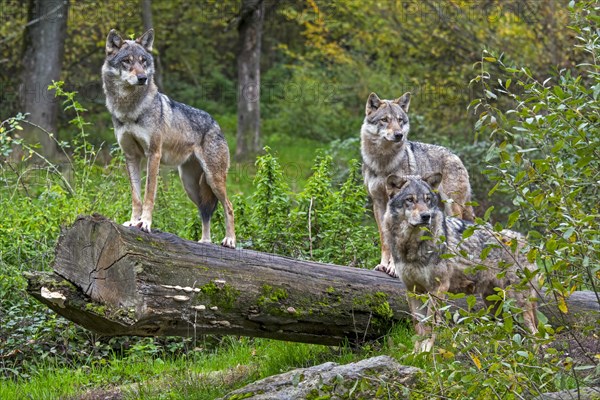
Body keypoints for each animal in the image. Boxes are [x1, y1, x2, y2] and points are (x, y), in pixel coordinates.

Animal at [102, 28, 236, 247]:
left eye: (143, 61)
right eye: (127, 61)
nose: (142, 78)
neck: (129, 109)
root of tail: (216, 123)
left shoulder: (153, 154)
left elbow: (149, 194)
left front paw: (145, 223)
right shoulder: (131, 157)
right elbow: (136, 197)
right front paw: (132, 222)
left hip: (213, 179)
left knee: (229, 206)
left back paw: (230, 240)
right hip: (191, 186)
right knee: (205, 212)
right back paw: (204, 242)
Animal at [360, 92, 474, 276]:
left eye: (400, 120)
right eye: (384, 120)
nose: (399, 135)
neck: (384, 162)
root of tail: (455, 156)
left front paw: (394, 268)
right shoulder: (378, 203)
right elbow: (385, 239)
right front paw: (383, 265)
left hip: (453, 207)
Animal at [382, 174, 540, 350]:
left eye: (428, 200)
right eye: (410, 199)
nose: (426, 216)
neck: (411, 247)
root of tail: (529, 242)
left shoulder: (438, 288)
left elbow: (430, 326)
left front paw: (427, 353)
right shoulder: (413, 290)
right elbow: (419, 328)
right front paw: (417, 354)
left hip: (516, 304)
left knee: (536, 335)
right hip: (495, 305)